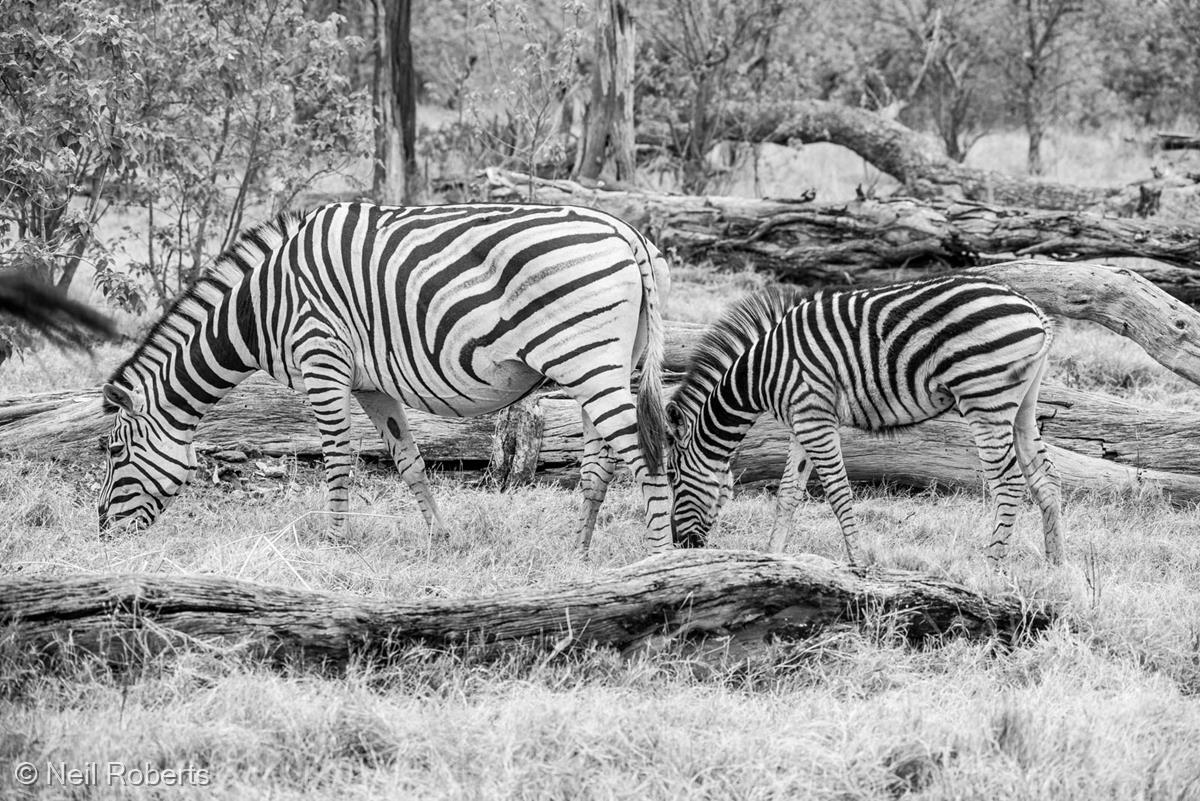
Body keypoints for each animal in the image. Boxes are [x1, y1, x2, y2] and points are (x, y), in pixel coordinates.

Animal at [93, 203, 676, 546]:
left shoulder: (321, 361)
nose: (101, 532)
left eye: (117, 451)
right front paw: (441, 540)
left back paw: (657, 559)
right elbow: (408, 461)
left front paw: (334, 543)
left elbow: (337, 459)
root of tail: (625, 232)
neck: (259, 307)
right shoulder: (370, 385)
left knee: (647, 457)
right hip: (600, 366)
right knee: (600, 465)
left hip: (587, 358)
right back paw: (579, 551)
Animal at [667, 278, 1070, 565]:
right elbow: (788, 494)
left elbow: (838, 492)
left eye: (671, 477)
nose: (679, 545)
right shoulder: (802, 421)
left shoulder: (815, 417)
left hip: (985, 399)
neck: (761, 372)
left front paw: (858, 562)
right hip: (1022, 404)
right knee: (1045, 477)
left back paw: (992, 563)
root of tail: (1033, 310)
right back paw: (1055, 566)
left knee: (1009, 481)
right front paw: (772, 558)